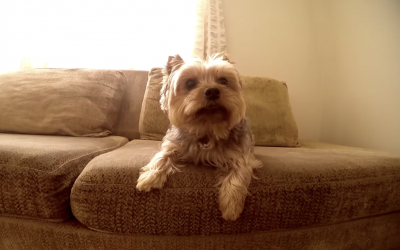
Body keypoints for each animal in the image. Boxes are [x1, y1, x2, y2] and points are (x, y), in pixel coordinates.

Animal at [136, 53, 264, 221]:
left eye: (223, 81)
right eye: (190, 83)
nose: (212, 91)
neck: (207, 128)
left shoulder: (242, 155)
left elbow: (238, 174)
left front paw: (231, 207)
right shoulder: (174, 145)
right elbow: (161, 157)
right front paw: (149, 178)